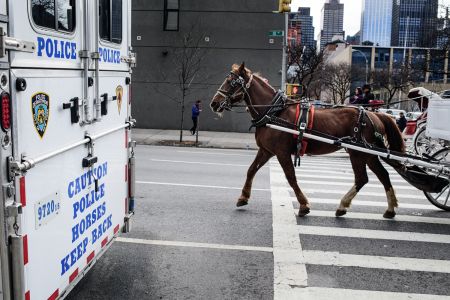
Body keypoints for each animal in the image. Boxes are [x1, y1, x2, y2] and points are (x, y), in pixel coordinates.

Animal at [209, 63, 406, 218]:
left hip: (358, 152)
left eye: (231, 82)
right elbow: (251, 170)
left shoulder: (281, 153)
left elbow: (290, 177)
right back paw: (389, 209)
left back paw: (343, 205)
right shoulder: (266, 151)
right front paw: (243, 197)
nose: (214, 103)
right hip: (367, 154)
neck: (275, 112)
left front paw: (304, 205)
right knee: (382, 175)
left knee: (362, 178)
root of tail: (375, 114)